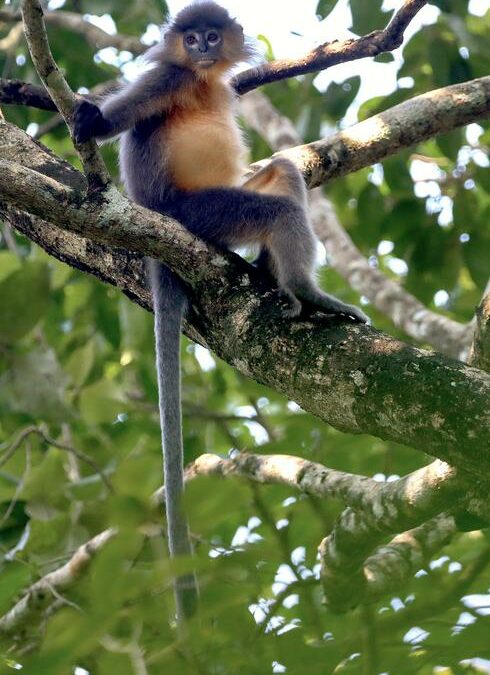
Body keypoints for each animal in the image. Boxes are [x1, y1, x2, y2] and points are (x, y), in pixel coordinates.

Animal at [73, 0, 368, 624]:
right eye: (190, 40)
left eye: (211, 35)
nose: (204, 48)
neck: (202, 80)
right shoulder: (167, 78)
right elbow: (113, 120)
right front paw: (87, 118)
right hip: (202, 214)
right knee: (277, 211)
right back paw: (307, 292)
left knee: (284, 171)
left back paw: (272, 275)